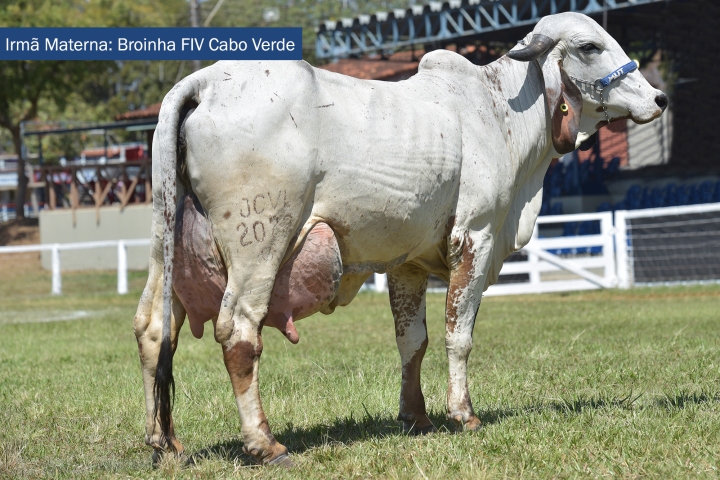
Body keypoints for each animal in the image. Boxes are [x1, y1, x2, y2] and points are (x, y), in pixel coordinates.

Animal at [134, 13, 664, 466]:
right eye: (590, 46)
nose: (658, 98)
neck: (500, 114)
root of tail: (205, 82)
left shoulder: (406, 262)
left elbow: (413, 340)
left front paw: (416, 417)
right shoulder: (475, 236)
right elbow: (458, 334)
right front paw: (463, 414)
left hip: (165, 241)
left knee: (153, 328)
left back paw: (166, 444)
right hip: (259, 243)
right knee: (239, 332)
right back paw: (265, 443)